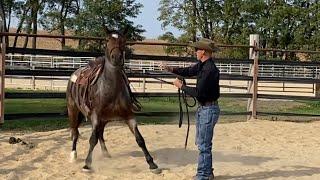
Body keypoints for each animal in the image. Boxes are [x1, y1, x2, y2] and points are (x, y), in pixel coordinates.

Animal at [66, 27, 159, 173]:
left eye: (123, 40)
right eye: (107, 40)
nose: (116, 57)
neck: (111, 88)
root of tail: (75, 73)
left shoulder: (129, 116)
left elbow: (139, 139)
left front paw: (152, 163)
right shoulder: (96, 116)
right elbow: (92, 140)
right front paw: (87, 164)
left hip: (104, 120)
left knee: (100, 134)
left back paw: (105, 153)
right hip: (73, 110)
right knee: (75, 132)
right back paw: (73, 155)